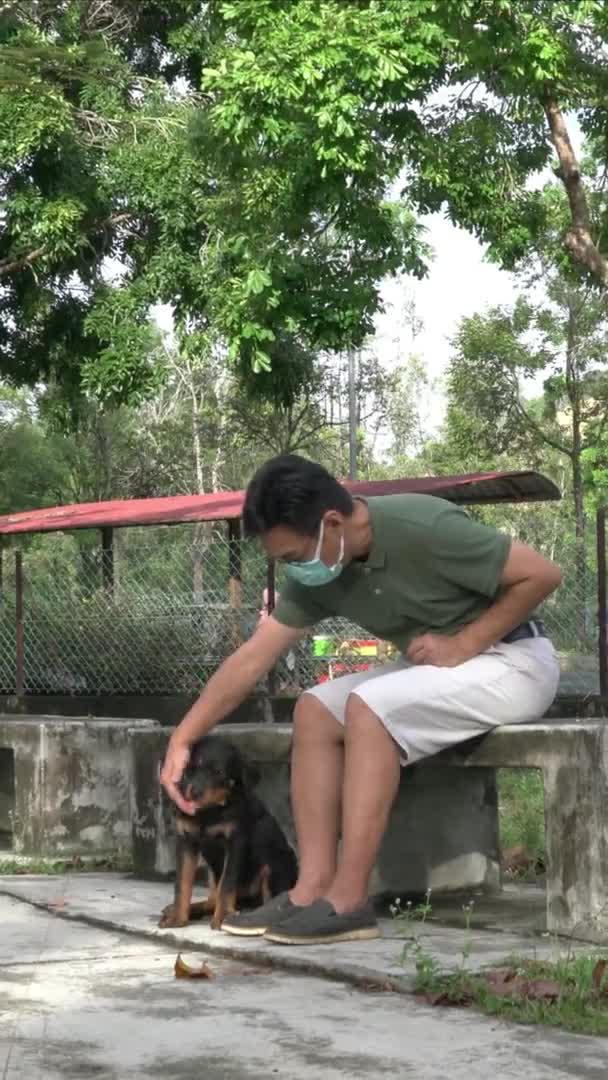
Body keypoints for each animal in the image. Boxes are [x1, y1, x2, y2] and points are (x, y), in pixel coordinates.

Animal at [158, 738, 298, 933]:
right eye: (192, 767)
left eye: (219, 773)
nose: (194, 792)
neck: (209, 811)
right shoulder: (186, 841)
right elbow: (182, 883)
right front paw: (177, 918)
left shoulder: (235, 843)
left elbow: (226, 885)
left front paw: (222, 917)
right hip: (211, 874)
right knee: (212, 900)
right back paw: (181, 909)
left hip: (275, 863)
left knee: (265, 900)